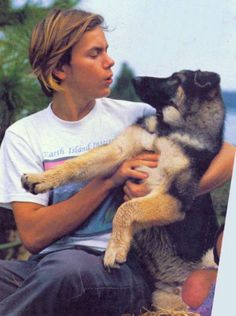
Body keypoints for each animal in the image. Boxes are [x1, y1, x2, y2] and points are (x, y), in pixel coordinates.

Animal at [21, 69, 225, 312]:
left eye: (176, 79)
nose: (134, 79)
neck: (168, 129)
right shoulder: (119, 151)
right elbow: (76, 164)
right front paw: (40, 179)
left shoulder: (173, 198)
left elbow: (127, 208)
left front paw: (114, 249)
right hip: (163, 299)